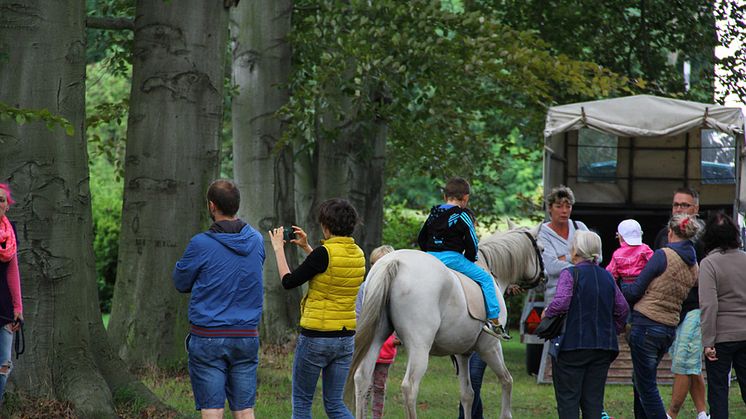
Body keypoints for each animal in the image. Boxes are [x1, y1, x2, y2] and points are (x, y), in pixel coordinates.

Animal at [346, 225, 544, 419]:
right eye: (541, 249)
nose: (544, 278)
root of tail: (395, 262)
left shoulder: (462, 353)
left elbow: (467, 394)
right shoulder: (490, 346)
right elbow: (506, 380)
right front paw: (506, 414)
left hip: (377, 337)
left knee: (362, 377)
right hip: (420, 347)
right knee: (409, 387)